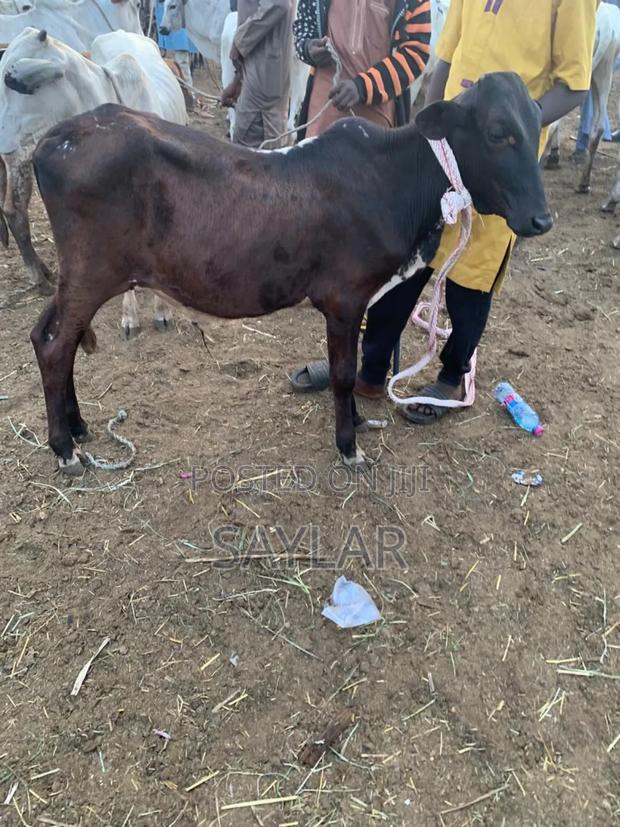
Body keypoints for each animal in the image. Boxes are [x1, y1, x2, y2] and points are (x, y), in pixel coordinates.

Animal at [31, 71, 552, 476]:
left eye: (537, 127)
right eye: (499, 133)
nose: (542, 220)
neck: (395, 182)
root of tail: (55, 138)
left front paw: (357, 423)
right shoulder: (344, 298)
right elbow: (343, 373)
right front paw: (349, 446)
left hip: (79, 274)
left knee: (47, 335)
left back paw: (78, 427)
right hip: (92, 271)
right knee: (57, 346)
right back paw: (64, 448)